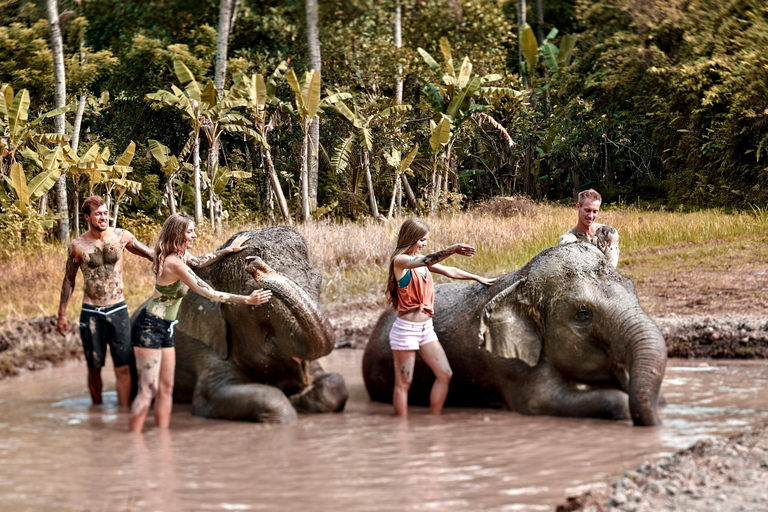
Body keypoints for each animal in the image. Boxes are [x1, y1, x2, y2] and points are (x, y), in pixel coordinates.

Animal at [171, 226, 348, 422]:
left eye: (319, 280)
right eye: (254, 294)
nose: (254, 262)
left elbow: (335, 384)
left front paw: (297, 397)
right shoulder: (204, 342)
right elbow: (210, 396)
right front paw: (288, 405)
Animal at [364, 242, 668, 426]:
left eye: (633, 289)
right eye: (582, 315)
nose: (660, 426)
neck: (520, 281)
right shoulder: (509, 364)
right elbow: (542, 400)